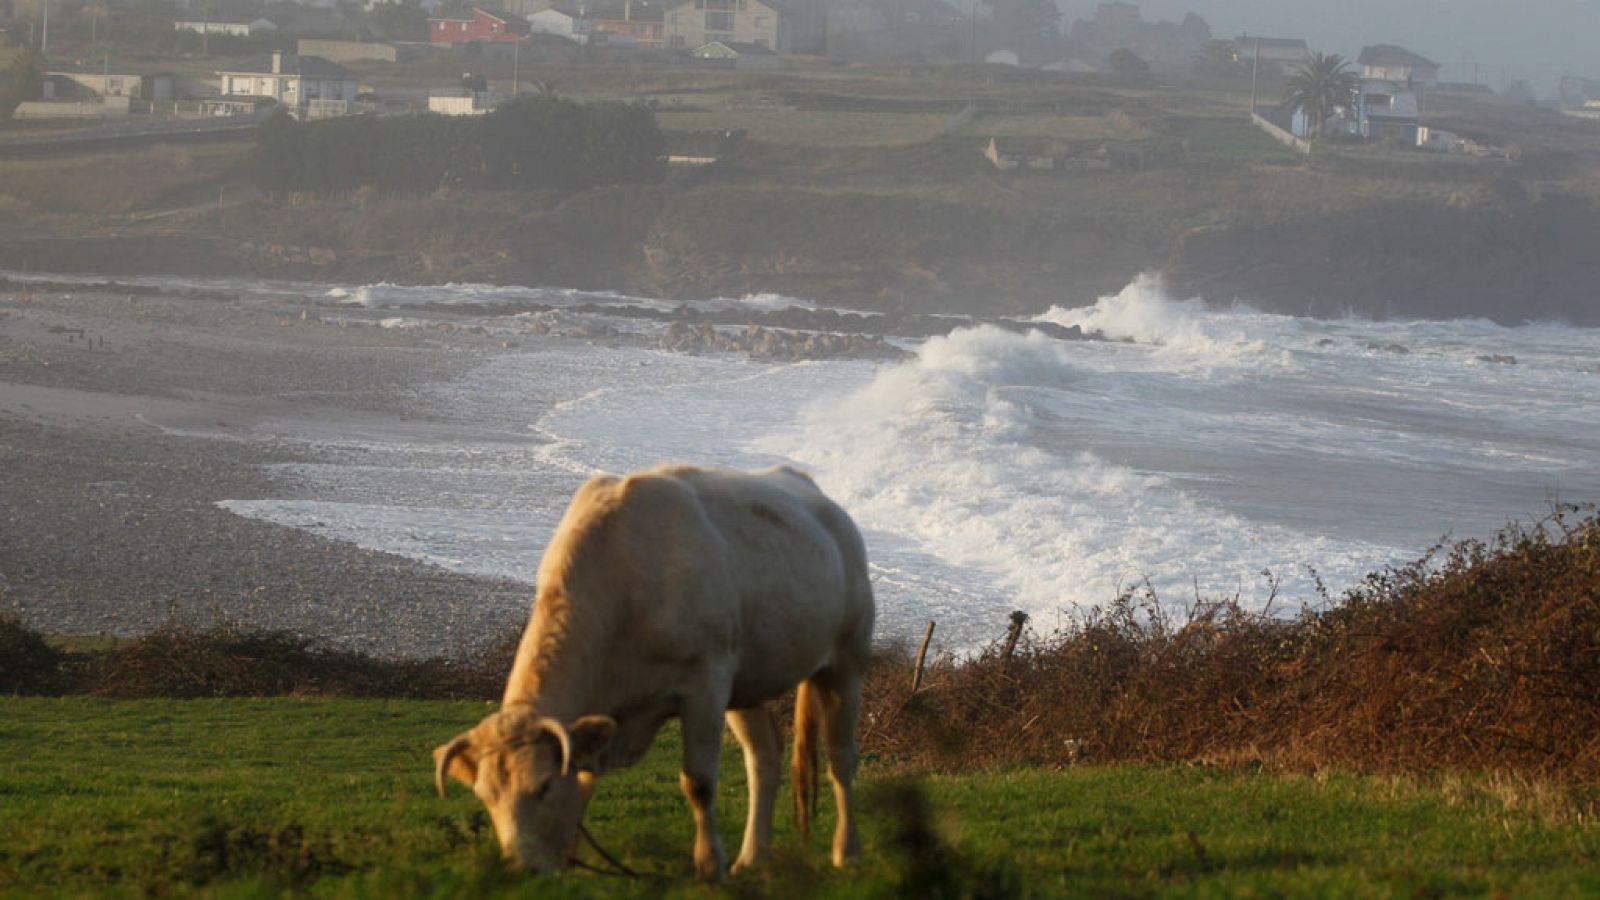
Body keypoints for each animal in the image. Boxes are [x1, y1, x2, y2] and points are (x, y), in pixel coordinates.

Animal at [435, 464, 876, 871]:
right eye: (485, 795)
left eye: (543, 786)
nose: (519, 866)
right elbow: (584, 782)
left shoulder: (706, 683)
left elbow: (698, 781)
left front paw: (709, 864)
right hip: (749, 679)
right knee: (764, 757)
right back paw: (752, 858)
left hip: (846, 659)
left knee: (841, 760)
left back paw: (848, 853)